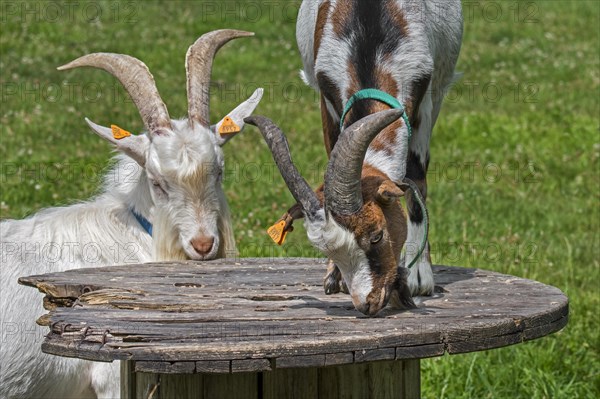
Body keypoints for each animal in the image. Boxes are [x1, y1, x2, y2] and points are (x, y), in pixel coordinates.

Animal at [246, 1, 462, 318]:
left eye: (376, 235)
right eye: (326, 250)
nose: (367, 303)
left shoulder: (423, 93)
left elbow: (416, 177)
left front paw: (420, 274)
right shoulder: (326, 94)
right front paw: (334, 276)